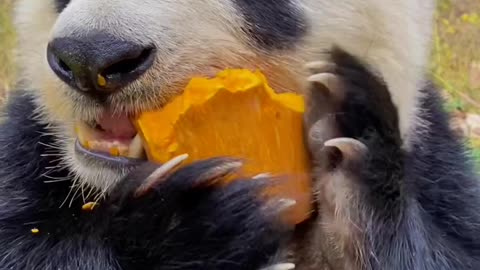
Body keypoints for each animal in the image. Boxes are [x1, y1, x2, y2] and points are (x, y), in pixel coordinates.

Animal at [3, 0, 480, 268]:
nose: (91, 60)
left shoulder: (437, 168)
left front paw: (350, 148)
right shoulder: (29, 158)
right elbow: (29, 249)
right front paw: (196, 221)